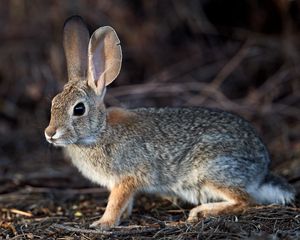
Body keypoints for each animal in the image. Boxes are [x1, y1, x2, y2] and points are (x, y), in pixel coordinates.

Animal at [45, 15, 296, 228]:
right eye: (53, 102)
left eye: (78, 109)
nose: (50, 133)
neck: (100, 131)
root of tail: (261, 170)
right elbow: (126, 202)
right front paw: (123, 217)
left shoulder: (127, 178)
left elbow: (116, 201)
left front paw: (104, 223)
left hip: (213, 171)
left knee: (246, 201)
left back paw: (201, 212)